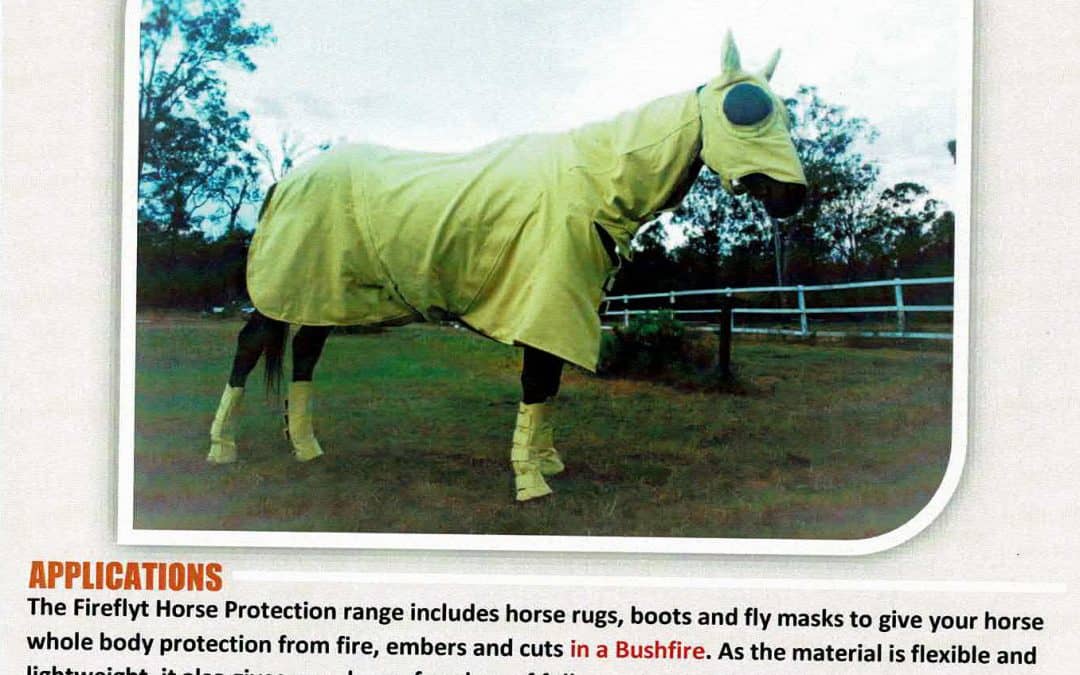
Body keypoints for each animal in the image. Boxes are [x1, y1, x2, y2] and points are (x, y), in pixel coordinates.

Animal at [206, 32, 808, 501]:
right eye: (745, 108)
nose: (792, 198)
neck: (591, 183)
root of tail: (287, 179)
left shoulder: (566, 308)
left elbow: (551, 385)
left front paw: (545, 460)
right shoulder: (546, 302)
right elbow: (538, 383)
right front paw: (530, 480)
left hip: (326, 295)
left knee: (306, 355)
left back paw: (307, 448)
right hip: (283, 290)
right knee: (249, 346)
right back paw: (222, 448)